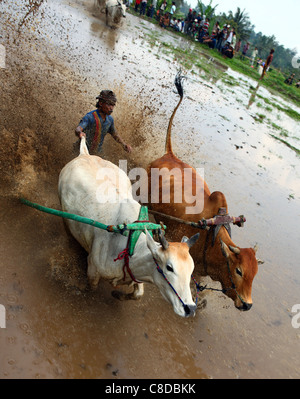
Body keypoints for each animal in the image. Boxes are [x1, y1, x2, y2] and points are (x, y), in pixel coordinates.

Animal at [58, 138, 199, 318]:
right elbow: (92, 288)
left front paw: (117, 294)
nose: (190, 308)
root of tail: (84, 154)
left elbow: (138, 294)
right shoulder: (93, 270)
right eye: (169, 267)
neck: (131, 247)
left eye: (191, 270)